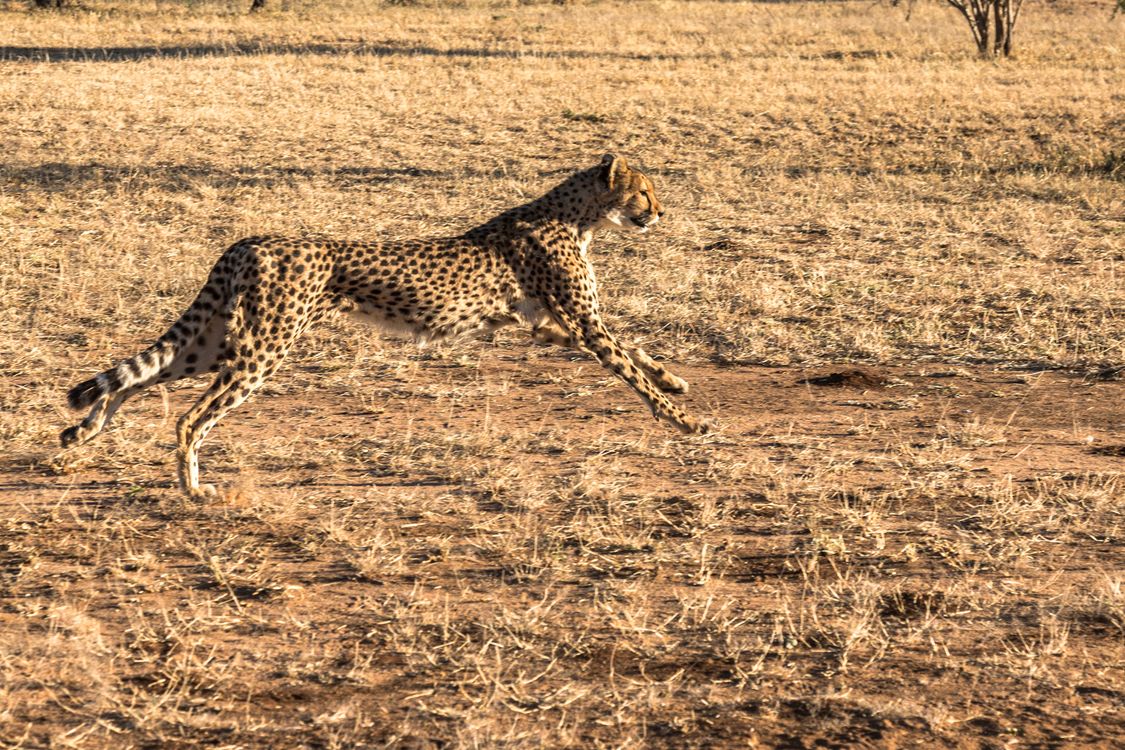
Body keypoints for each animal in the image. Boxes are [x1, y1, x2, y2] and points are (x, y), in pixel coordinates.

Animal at [61, 153, 711, 499]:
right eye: (644, 191)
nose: (659, 213)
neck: (576, 215)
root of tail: (250, 240)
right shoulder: (580, 323)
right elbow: (630, 371)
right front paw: (685, 421)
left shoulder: (547, 324)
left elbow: (637, 351)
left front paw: (676, 381)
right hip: (261, 350)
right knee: (191, 416)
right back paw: (192, 488)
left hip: (221, 343)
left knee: (141, 375)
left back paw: (82, 434)